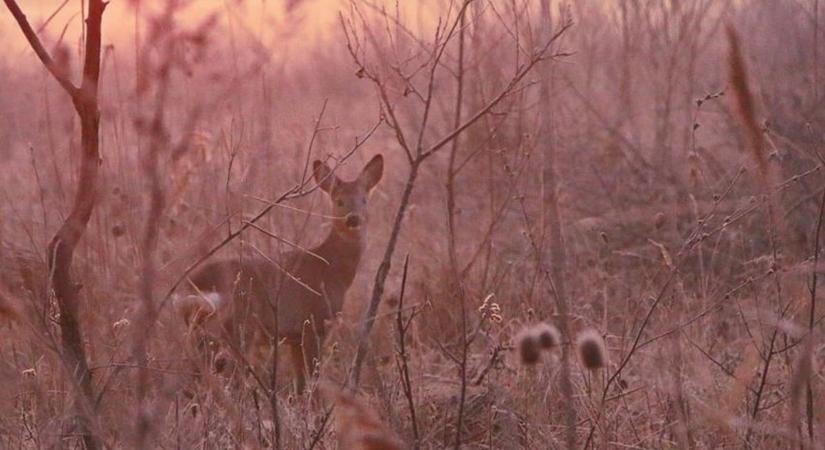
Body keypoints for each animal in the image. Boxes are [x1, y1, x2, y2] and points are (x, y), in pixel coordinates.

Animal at [173, 154, 384, 390]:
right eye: (338, 201)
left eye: (364, 200)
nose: (353, 219)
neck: (330, 269)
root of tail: (192, 286)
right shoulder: (314, 322)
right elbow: (312, 379)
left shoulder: (294, 336)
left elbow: (300, 382)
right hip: (239, 326)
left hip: (204, 333)